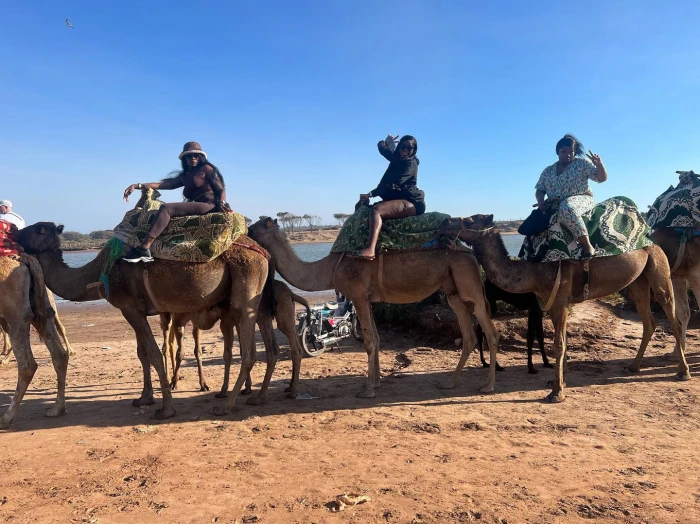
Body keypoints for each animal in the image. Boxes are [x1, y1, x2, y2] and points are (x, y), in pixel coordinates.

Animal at [0, 255, 69, 428]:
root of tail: (23, 260)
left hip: (16, 317)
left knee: (27, 365)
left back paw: (6, 418)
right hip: (45, 310)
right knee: (59, 355)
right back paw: (57, 409)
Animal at [18, 221, 269, 419]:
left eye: (38, 228)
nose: (15, 232)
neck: (99, 272)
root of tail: (262, 252)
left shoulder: (129, 307)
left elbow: (154, 354)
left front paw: (166, 409)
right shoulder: (135, 310)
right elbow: (142, 354)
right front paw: (144, 398)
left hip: (246, 281)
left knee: (249, 352)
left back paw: (226, 406)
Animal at [248, 217, 501, 398]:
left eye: (256, 227)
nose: (245, 231)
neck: (330, 268)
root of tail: (468, 250)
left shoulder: (358, 296)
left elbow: (369, 341)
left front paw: (367, 389)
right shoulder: (368, 299)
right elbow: (377, 338)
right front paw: (377, 382)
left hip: (467, 279)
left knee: (489, 329)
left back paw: (488, 386)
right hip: (452, 289)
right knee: (468, 334)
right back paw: (450, 382)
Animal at [439, 214, 691, 402]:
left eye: (470, 220)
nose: (445, 222)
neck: (533, 272)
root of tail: (651, 240)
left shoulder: (560, 300)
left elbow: (558, 344)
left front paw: (556, 393)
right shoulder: (552, 304)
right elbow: (563, 342)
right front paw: (558, 382)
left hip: (660, 270)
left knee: (674, 319)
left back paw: (683, 372)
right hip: (637, 282)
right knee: (649, 321)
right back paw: (633, 367)